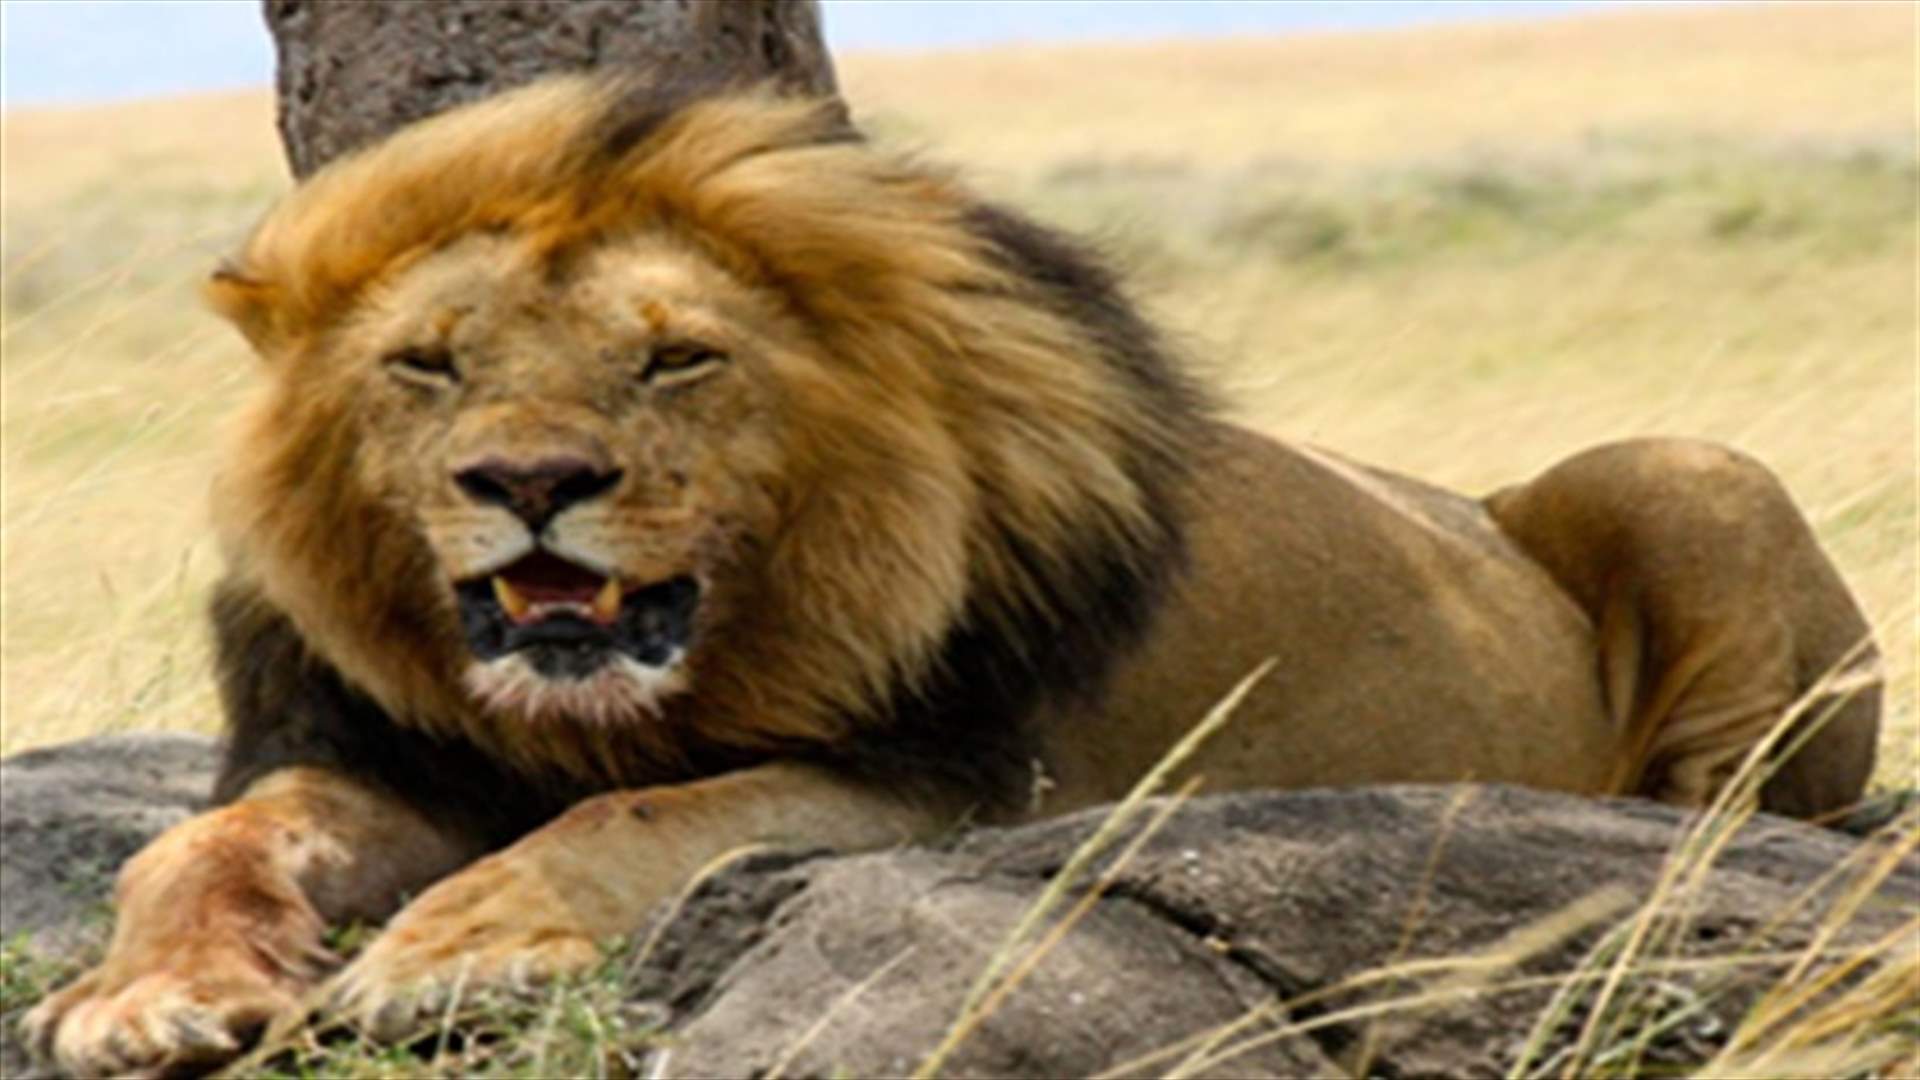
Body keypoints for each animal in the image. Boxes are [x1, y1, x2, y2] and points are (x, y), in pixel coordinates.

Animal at [24, 74, 1880, 1076]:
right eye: (427, 363)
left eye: (678, 359)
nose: (531, 485)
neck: (617, 700)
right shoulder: (389, 746)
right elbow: (203, 842)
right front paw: (145, 1000)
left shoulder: (956, 778)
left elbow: (654, 816)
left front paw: (457, 944)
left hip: (1690, 471)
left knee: (1739, 810)